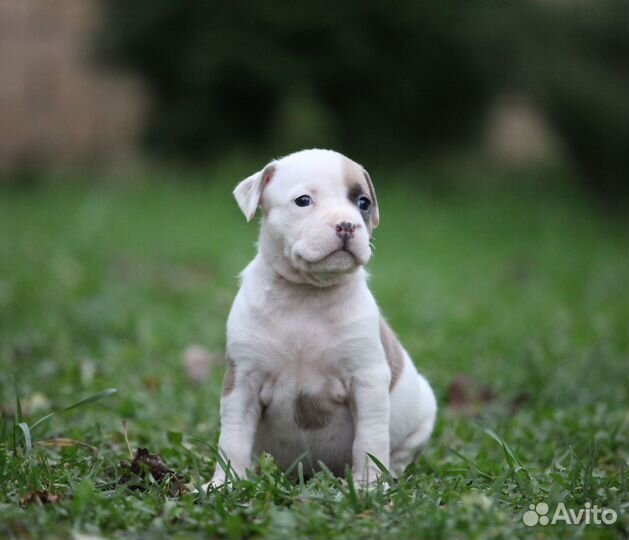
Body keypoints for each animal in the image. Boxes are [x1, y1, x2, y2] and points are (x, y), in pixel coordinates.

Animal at [209, 149, 434, 490]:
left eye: (363, 202)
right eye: (303, 201)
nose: (347, 225)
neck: (306, 295)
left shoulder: (367, 379)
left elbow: (369, 441)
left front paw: (368, 487)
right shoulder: (242, 380)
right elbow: (233, 439)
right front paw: (223, 484)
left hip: (425, 410)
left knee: (399, 453)